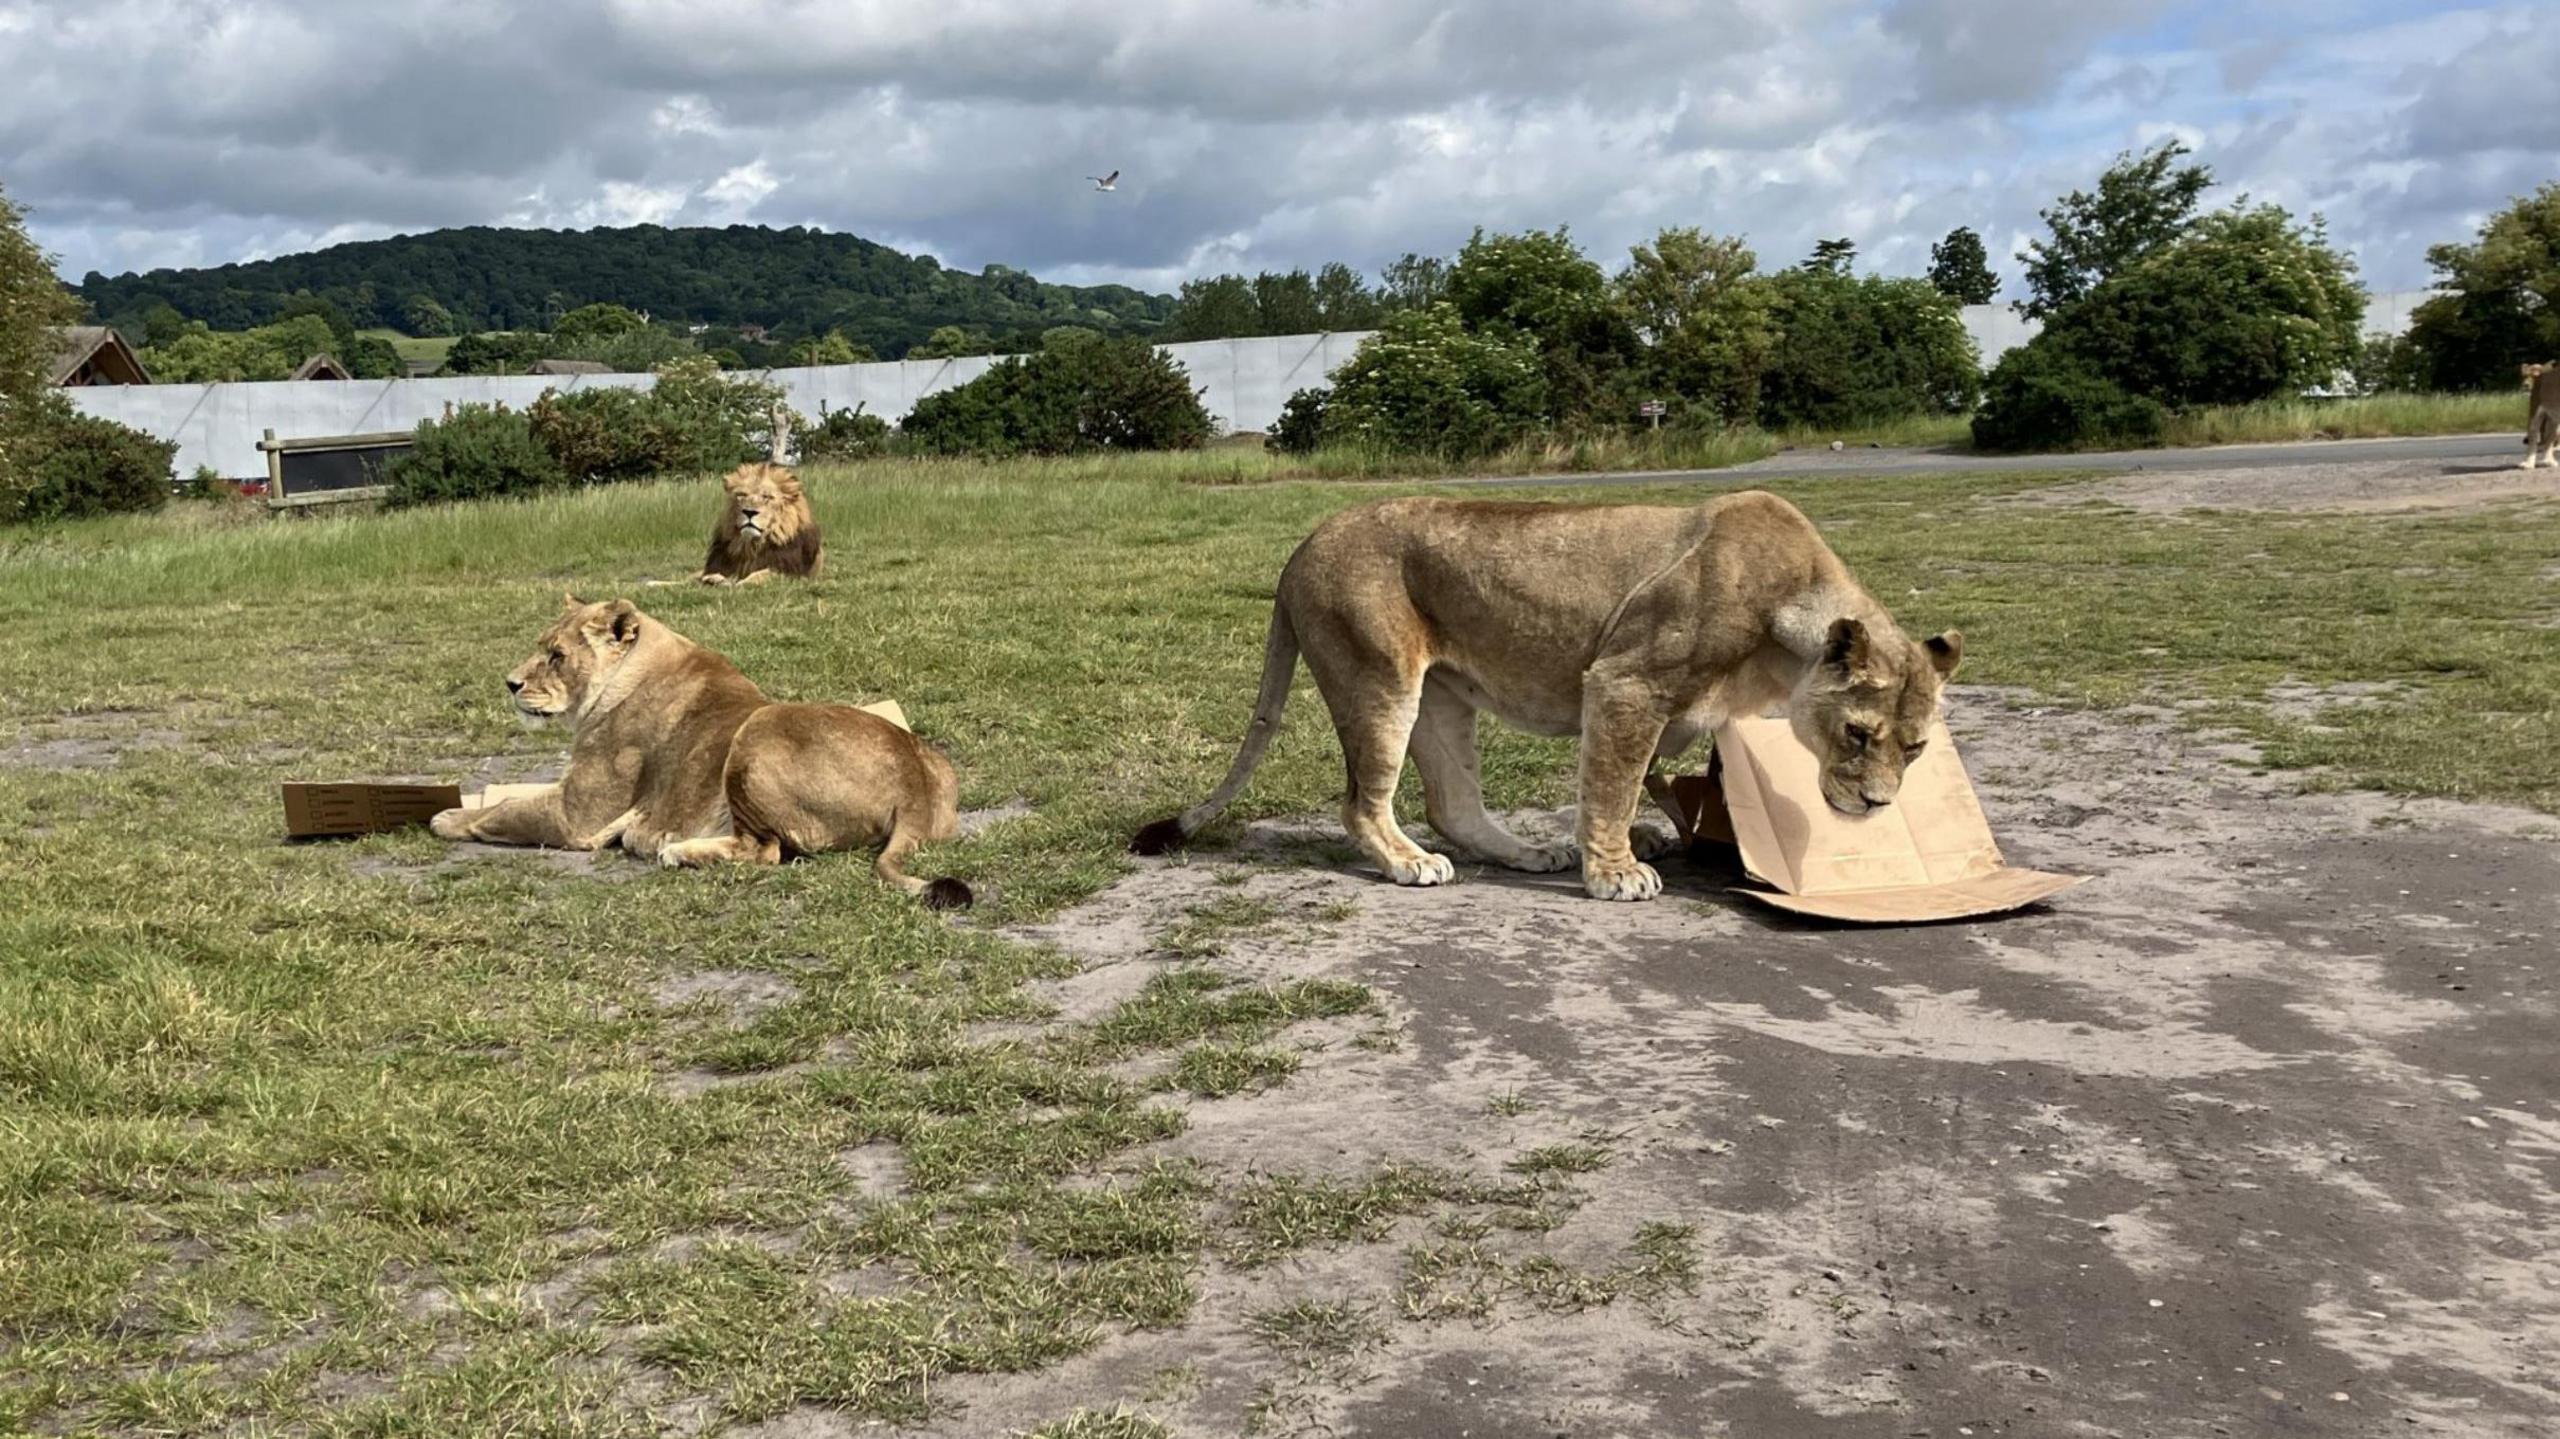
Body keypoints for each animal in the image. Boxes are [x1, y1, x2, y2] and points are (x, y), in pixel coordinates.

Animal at [432, 594, 967, 906]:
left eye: (557, 656)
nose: (510, 683)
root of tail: (914, 781)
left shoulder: (578, 815)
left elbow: (505, 810)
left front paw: (446, 818)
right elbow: (511, 794)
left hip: (755, 732)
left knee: (764, 851)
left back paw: (675, 851)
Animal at [1136, 491, 1955, 896]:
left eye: (1914, 747)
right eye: (1857, 733)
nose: (1876, 804)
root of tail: (1299, 547)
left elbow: (1646, 782)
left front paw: (1651, 837)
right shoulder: (1626, 682)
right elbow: (1612, 784)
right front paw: (1618, 872)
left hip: (1442, 697)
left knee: (1454, 805)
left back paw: (1533, 854)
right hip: (1379, 676)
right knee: (1364, 802)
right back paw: (1409, 864)